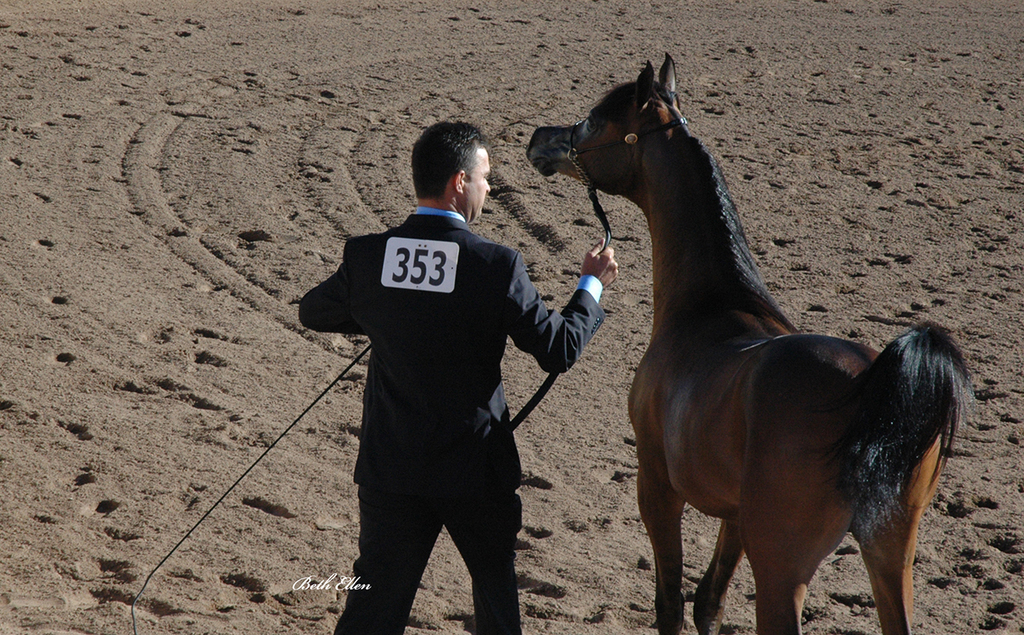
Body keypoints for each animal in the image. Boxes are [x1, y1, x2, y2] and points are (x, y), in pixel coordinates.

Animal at [526, 54, 972, 635]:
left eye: (595, 119)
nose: (539, 138)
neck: (709, 306)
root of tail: (876, 392)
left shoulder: (656, 485)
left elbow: (670, 601)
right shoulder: (736, 514)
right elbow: (708, 601)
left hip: (782, 568)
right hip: (891, 557)